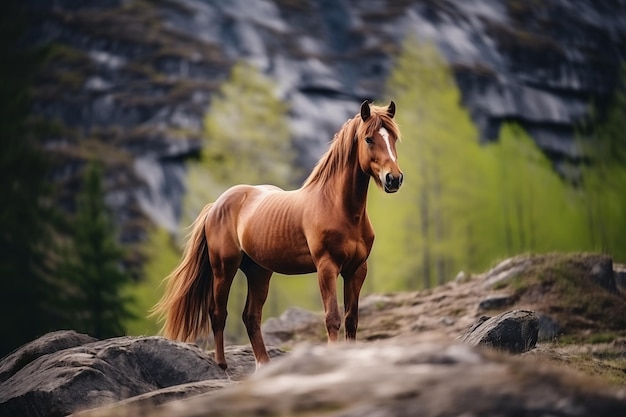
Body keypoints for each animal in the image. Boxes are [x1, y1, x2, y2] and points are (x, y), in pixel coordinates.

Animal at [152, 100, 404, 368]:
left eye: (393, 138)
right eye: (369, 139)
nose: (394, 179)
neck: (339, 208)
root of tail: (217, 204)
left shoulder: (356, 270)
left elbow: (352, 320)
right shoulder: (326, 268)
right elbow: (332, 318)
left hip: (259, 272)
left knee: (251, 316)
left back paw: (263, 364)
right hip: (224, 268)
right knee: (218, 313)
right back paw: (222, 365)